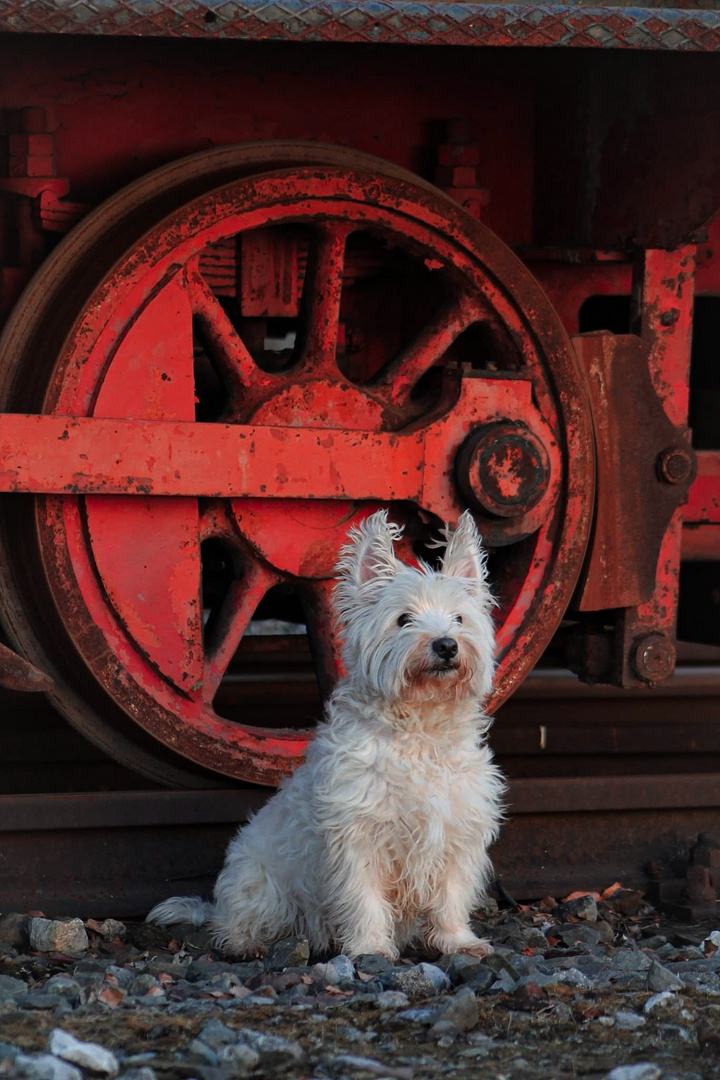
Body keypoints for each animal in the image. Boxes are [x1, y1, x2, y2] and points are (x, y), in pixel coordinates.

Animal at [148, 509, 505, 959]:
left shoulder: (457, 833)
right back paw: (246, 943)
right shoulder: (358, 837)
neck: (420, 729)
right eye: (403, 619)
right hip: (259, 883)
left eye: (460, 618)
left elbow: (451, 896)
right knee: (235, 921)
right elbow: (364, 898)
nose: (446, 645)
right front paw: (371, 949)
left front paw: (459, 942)